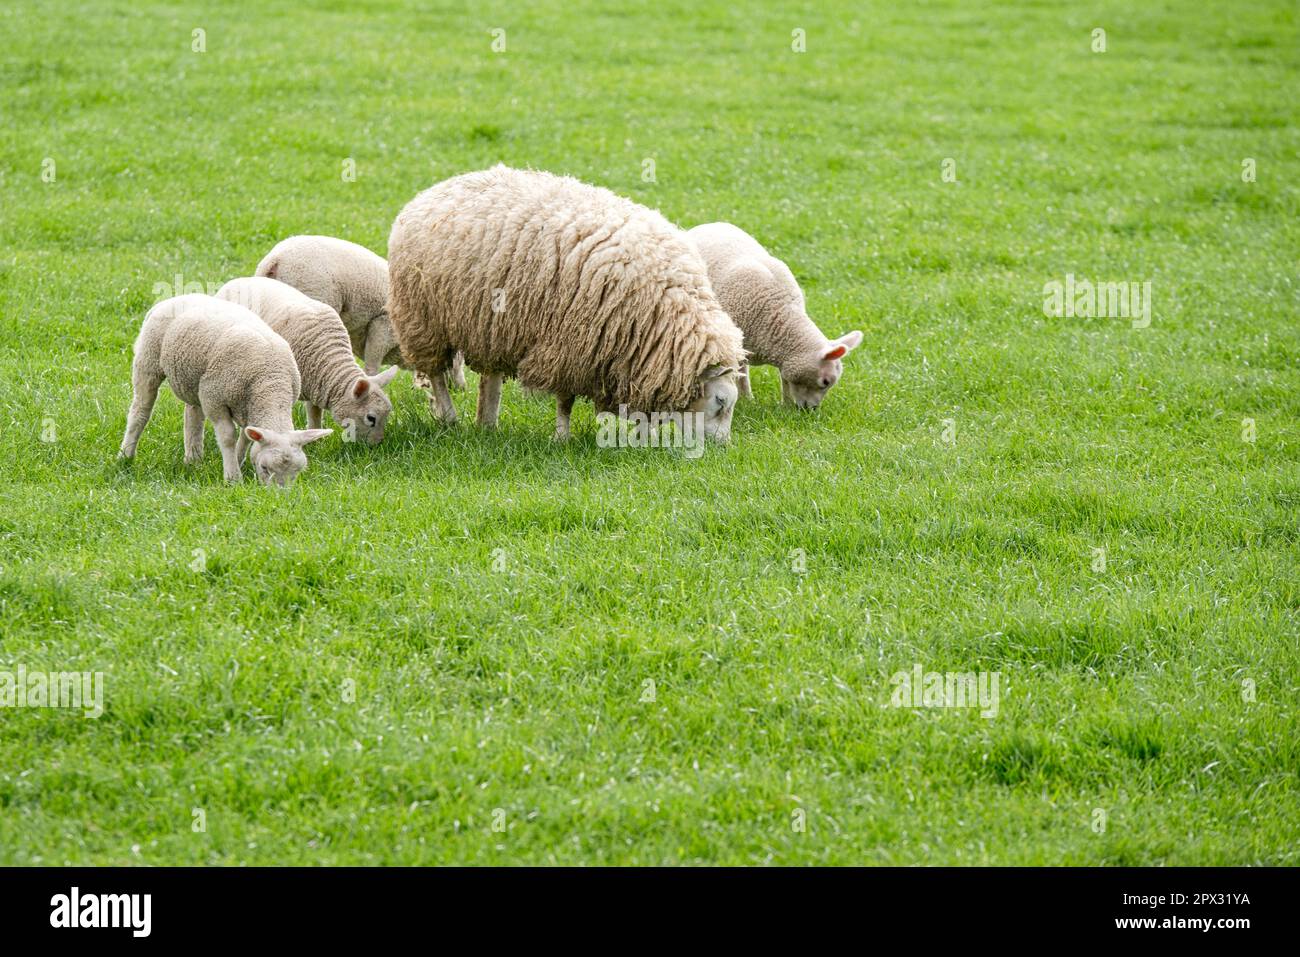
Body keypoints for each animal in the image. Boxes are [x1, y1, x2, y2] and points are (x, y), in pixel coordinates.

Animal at [118, 294, 331, 484]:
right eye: (264, 468)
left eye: (297, 471)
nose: (280, 496)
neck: (270, 382)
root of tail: (169, 300)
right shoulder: (214, 399)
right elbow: (228, 437)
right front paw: (233, 478)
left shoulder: (248, 406)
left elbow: (246, 438)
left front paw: (237, 460)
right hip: (149, 361)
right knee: (140, 411)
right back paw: (126, 455)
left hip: (195, 380)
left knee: (192, 416)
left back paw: (193, 460)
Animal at [215, 276, 397, 445]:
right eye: (371, 418)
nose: (377, 445)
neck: (327, 354)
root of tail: (235, 281)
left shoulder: (316, 382)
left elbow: (314, 411)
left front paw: (315, 437)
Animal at [387, 165, 746, 442]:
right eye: (720, 401)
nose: (722, 447)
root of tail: (435, 189)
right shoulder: (569, 345)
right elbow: (565, 401)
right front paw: (562, 437)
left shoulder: (625, 357)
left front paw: (641, 436)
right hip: (423, 319)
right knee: (436, 373)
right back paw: (450, 418)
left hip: (488, 325)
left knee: (489, 378)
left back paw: (487, 424)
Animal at [686, 222, 862, 409]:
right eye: (825, 382)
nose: (811, 410)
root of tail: (709, 224)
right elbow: (740, 375)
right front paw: (746, 400)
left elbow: (785, 379)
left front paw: (787, 405)